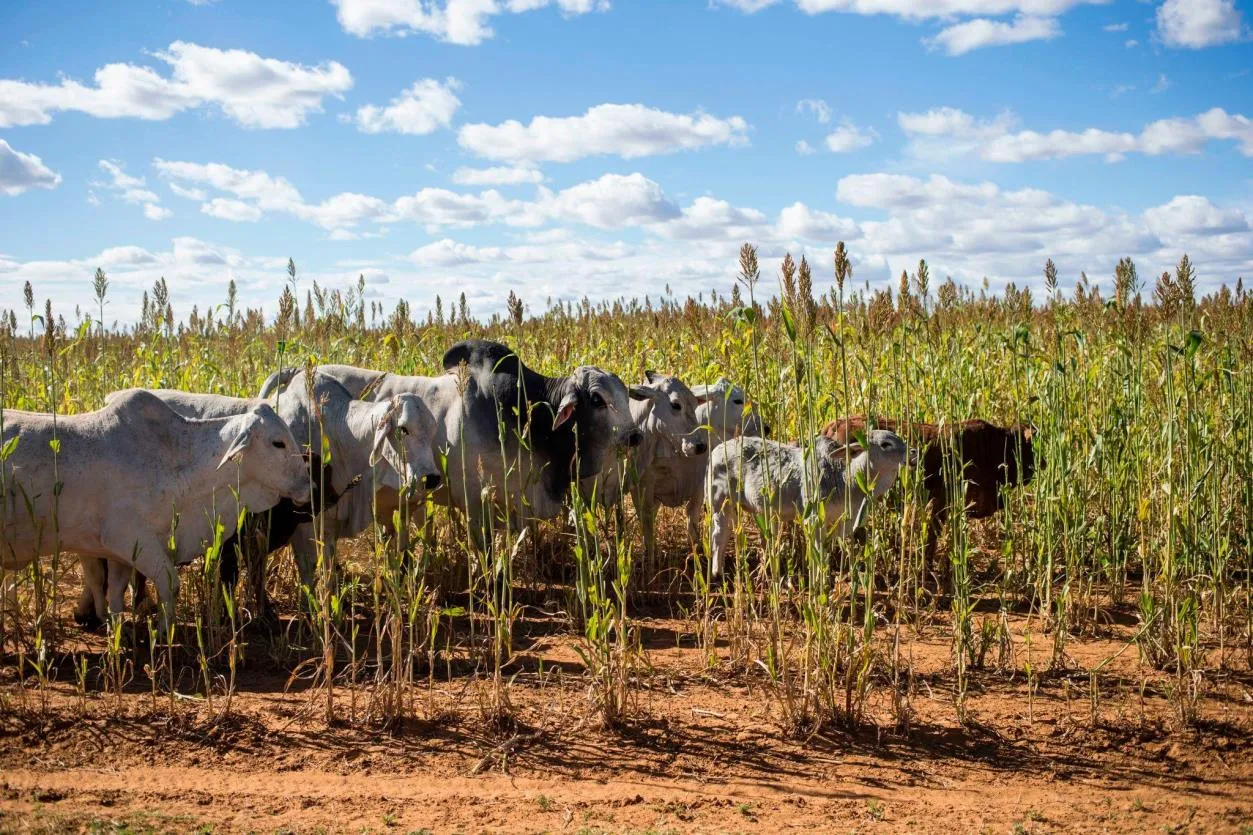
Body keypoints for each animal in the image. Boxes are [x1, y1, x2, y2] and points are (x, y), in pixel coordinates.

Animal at [1, 391, 310, 632]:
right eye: (278, 442)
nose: (308, 485)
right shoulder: (130, 538)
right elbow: (169, 583)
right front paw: (163, 631)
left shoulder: (120, 553)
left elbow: (115, 595)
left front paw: (118, 635)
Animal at [704, 430, 910, 578]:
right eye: (886, 444)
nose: (913, 452)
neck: (845, 478)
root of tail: (717, 449)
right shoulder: (813, 519)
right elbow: (818, 554)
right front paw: (820, 581)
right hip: (720, 503)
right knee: (719, 536)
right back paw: (717, 573)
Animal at [821, 416, 1037, 577]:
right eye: (1028, 446)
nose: (1041, 463)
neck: (993, 446)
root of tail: (832, 426)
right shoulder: (943, 500)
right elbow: (933, 534)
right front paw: (928, 568)